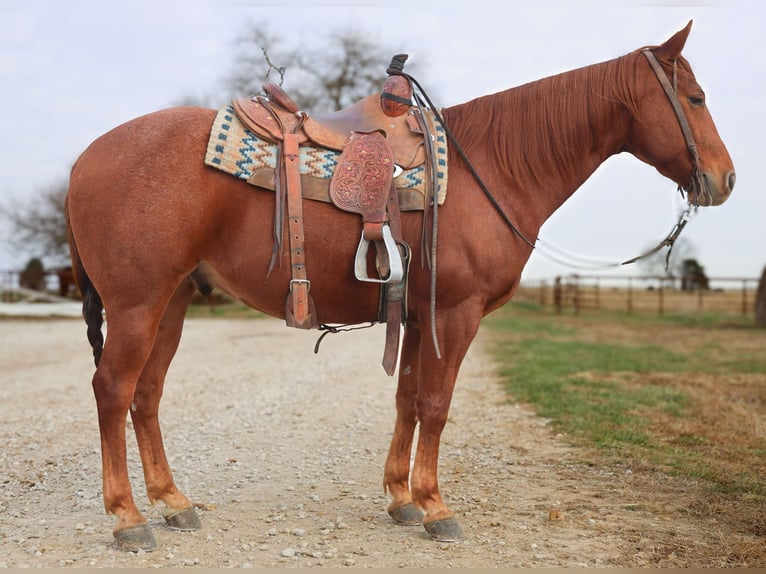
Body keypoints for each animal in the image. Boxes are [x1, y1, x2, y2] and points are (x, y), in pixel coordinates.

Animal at [64, 21, 734, 551]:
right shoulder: (454, 314)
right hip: (138, 304)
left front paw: (400, 497)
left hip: (172, 301)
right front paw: (436, 505)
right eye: (696, 97)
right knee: (113, 391)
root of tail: (84, 157)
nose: (724, 180)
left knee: (146, 395)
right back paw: (128, 518)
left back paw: (173, 502)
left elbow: (408, 399)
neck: (492, 169)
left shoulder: (416, 316)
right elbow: (436, 405)